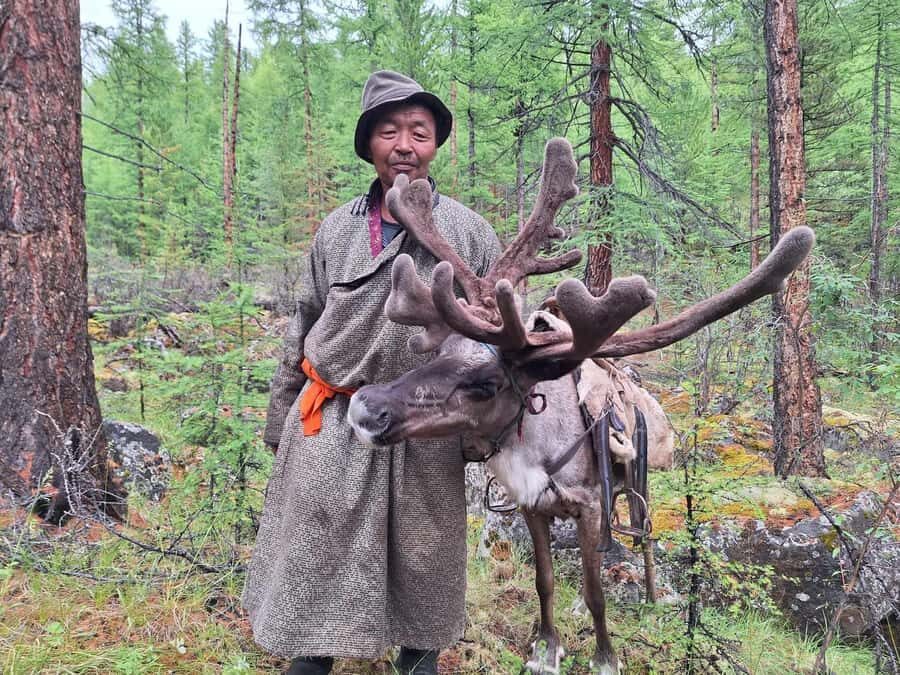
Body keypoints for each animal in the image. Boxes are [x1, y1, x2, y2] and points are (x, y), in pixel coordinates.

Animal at [346, 138, 814, 674]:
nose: (366, 406)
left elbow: (595, 592)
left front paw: (605, 657)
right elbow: (545, 581)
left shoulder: (590, 508)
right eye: (439, 352)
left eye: (486, 384)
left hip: (639, 484)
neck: (538, 449)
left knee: (645, 537)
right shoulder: (531, 507)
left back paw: (653, 599)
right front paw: (545, 648)